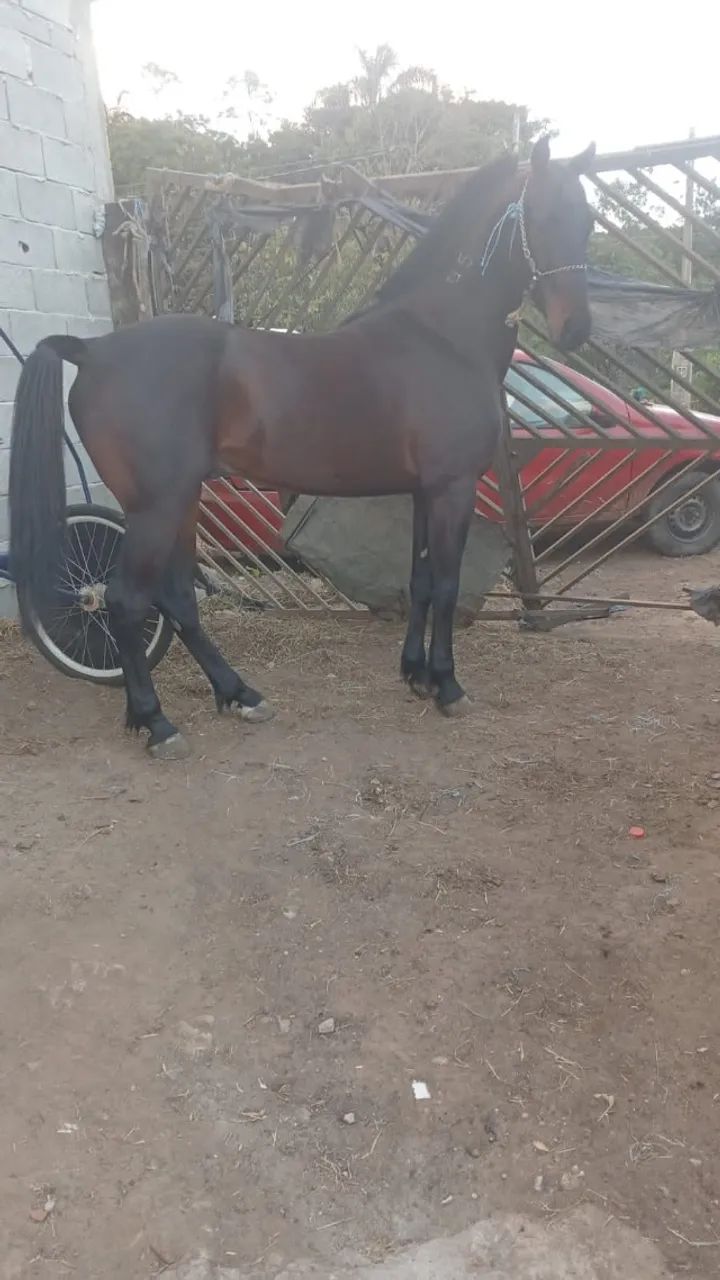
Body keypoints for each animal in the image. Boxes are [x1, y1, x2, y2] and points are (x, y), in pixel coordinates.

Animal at [8, 137, 595, 760]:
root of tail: (92, 351)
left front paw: (414, 674)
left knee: (178, 598)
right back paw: (158, 723)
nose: (576, 329)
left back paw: (239, 695)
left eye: (587, 221)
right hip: (155, 508)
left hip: (181, 503)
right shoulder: (452, 489)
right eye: (543, 216)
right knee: (125, 601)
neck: (441, 337)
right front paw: (447, 686)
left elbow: (417, 582)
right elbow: (444, 585)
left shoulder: (422, 492)